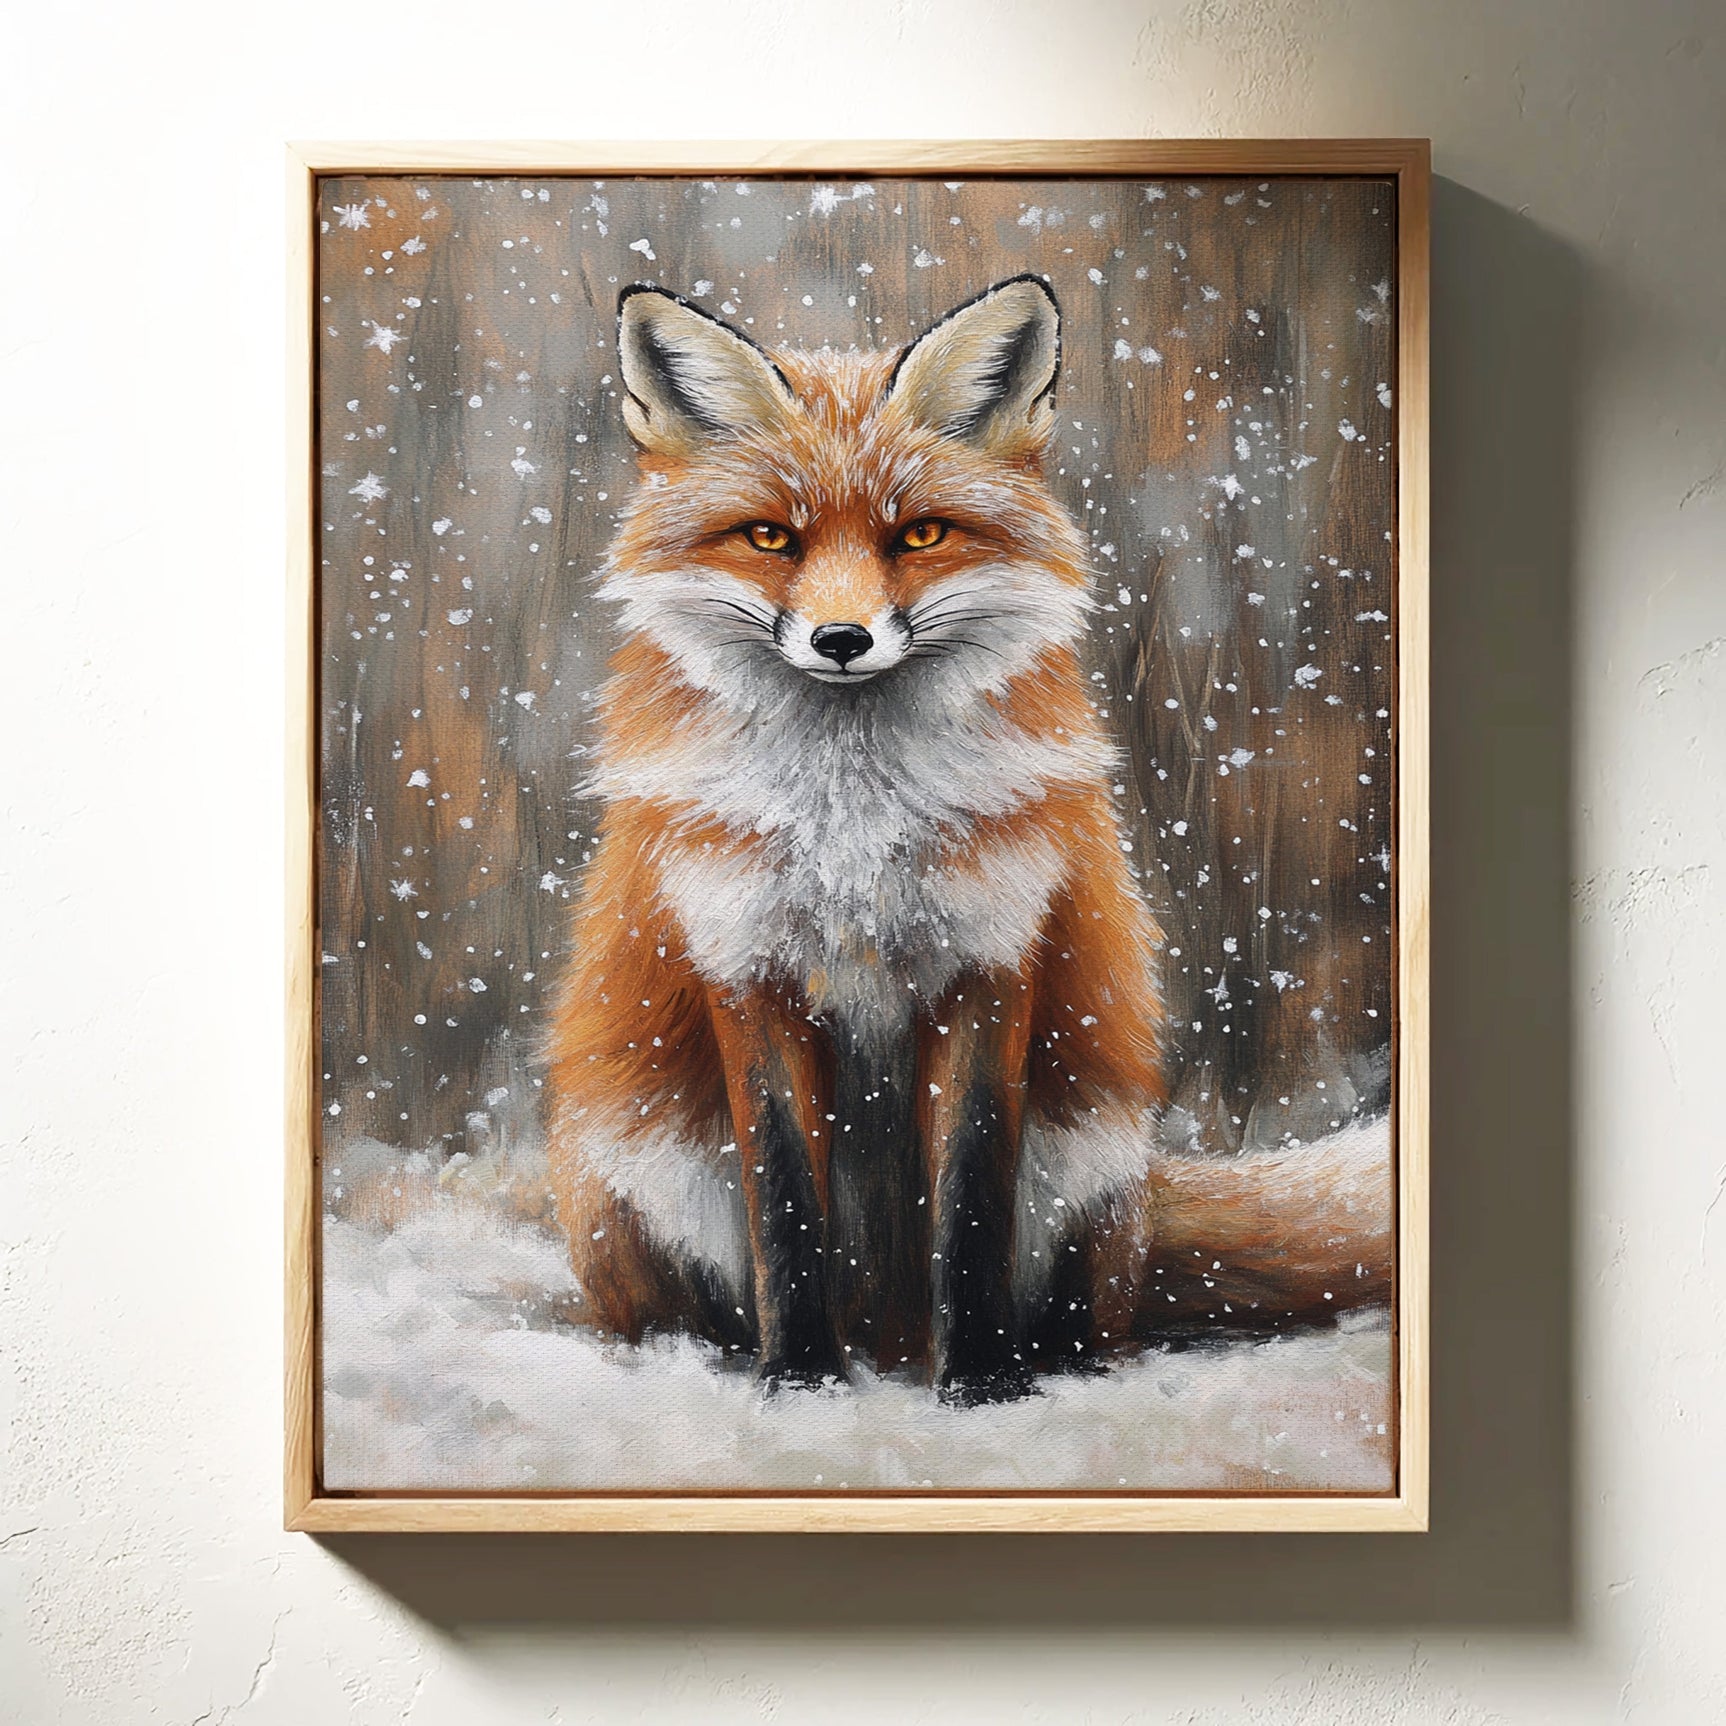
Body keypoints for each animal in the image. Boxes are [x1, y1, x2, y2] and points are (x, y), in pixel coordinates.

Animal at [545, 276, 1389, 1404]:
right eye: (770, 539)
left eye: (919, 535)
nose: (842, 640)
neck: (852, 826)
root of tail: (888, 1336)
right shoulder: (745, 964)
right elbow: (785, 1206)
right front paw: (800, 1378)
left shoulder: (993, 956)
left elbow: (971, 1200)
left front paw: (984, 1382)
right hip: (634, 1171)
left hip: (1088, 1165)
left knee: (1092, 1312)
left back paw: (1043, 1360)